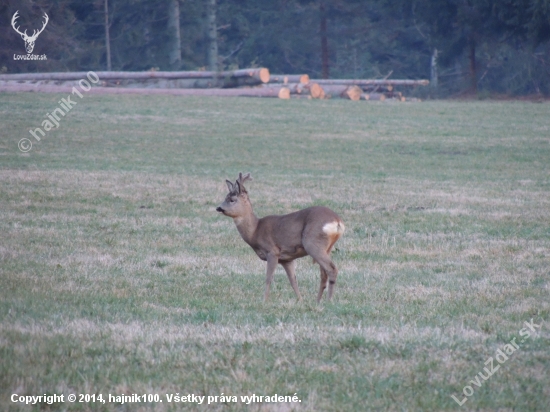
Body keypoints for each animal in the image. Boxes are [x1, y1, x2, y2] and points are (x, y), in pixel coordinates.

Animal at [216, 172, 344, 300]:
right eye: (225, 197)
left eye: (232, 200)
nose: (219, 208)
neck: (255, 230)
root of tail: (337, 221)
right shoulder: (287, 259)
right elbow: (293, 280)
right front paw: (300, 300)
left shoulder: (272, 251)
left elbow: (268, 278)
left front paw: (264, 300)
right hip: (326, 248)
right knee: (323, 274)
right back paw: (317, 301)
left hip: (312, 243)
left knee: (331, 269)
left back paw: (328, 300)